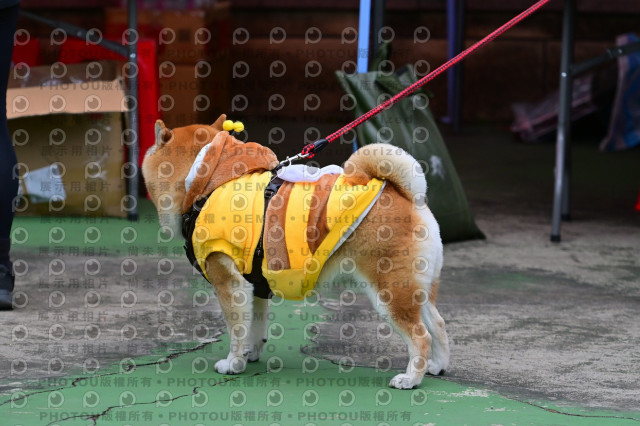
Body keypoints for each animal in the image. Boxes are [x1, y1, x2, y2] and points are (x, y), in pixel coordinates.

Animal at [142, 114, 449, 389]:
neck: (204, 183)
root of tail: (409, 197)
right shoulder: (254, 285)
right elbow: (255, 326)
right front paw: (250, 355)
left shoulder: (228, 283)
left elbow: (237, 330)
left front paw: (233, 363)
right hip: (416, 288)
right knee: (437, 324)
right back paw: (437, 366)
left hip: (390, 292)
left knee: (420, 336)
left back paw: (411, 379)